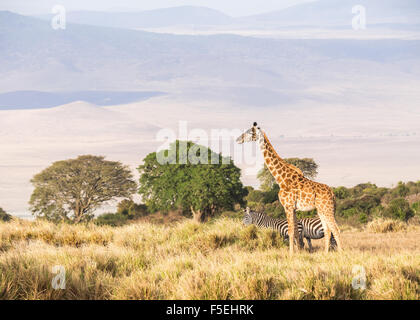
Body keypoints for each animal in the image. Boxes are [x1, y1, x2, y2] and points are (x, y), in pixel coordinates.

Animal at [236, 121, 342, 254]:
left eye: (249, 132)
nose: (238, 139)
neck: (281, 179)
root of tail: (332, 193)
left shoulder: (288, 206)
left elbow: (291, 231)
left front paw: (291, 254)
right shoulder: (294, 208)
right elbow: (296, 232)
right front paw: (298, 253)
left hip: (327, 208)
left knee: (336, 229)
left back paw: (341, 253)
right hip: (321, 210)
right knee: (328, 230)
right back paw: (325, 253)